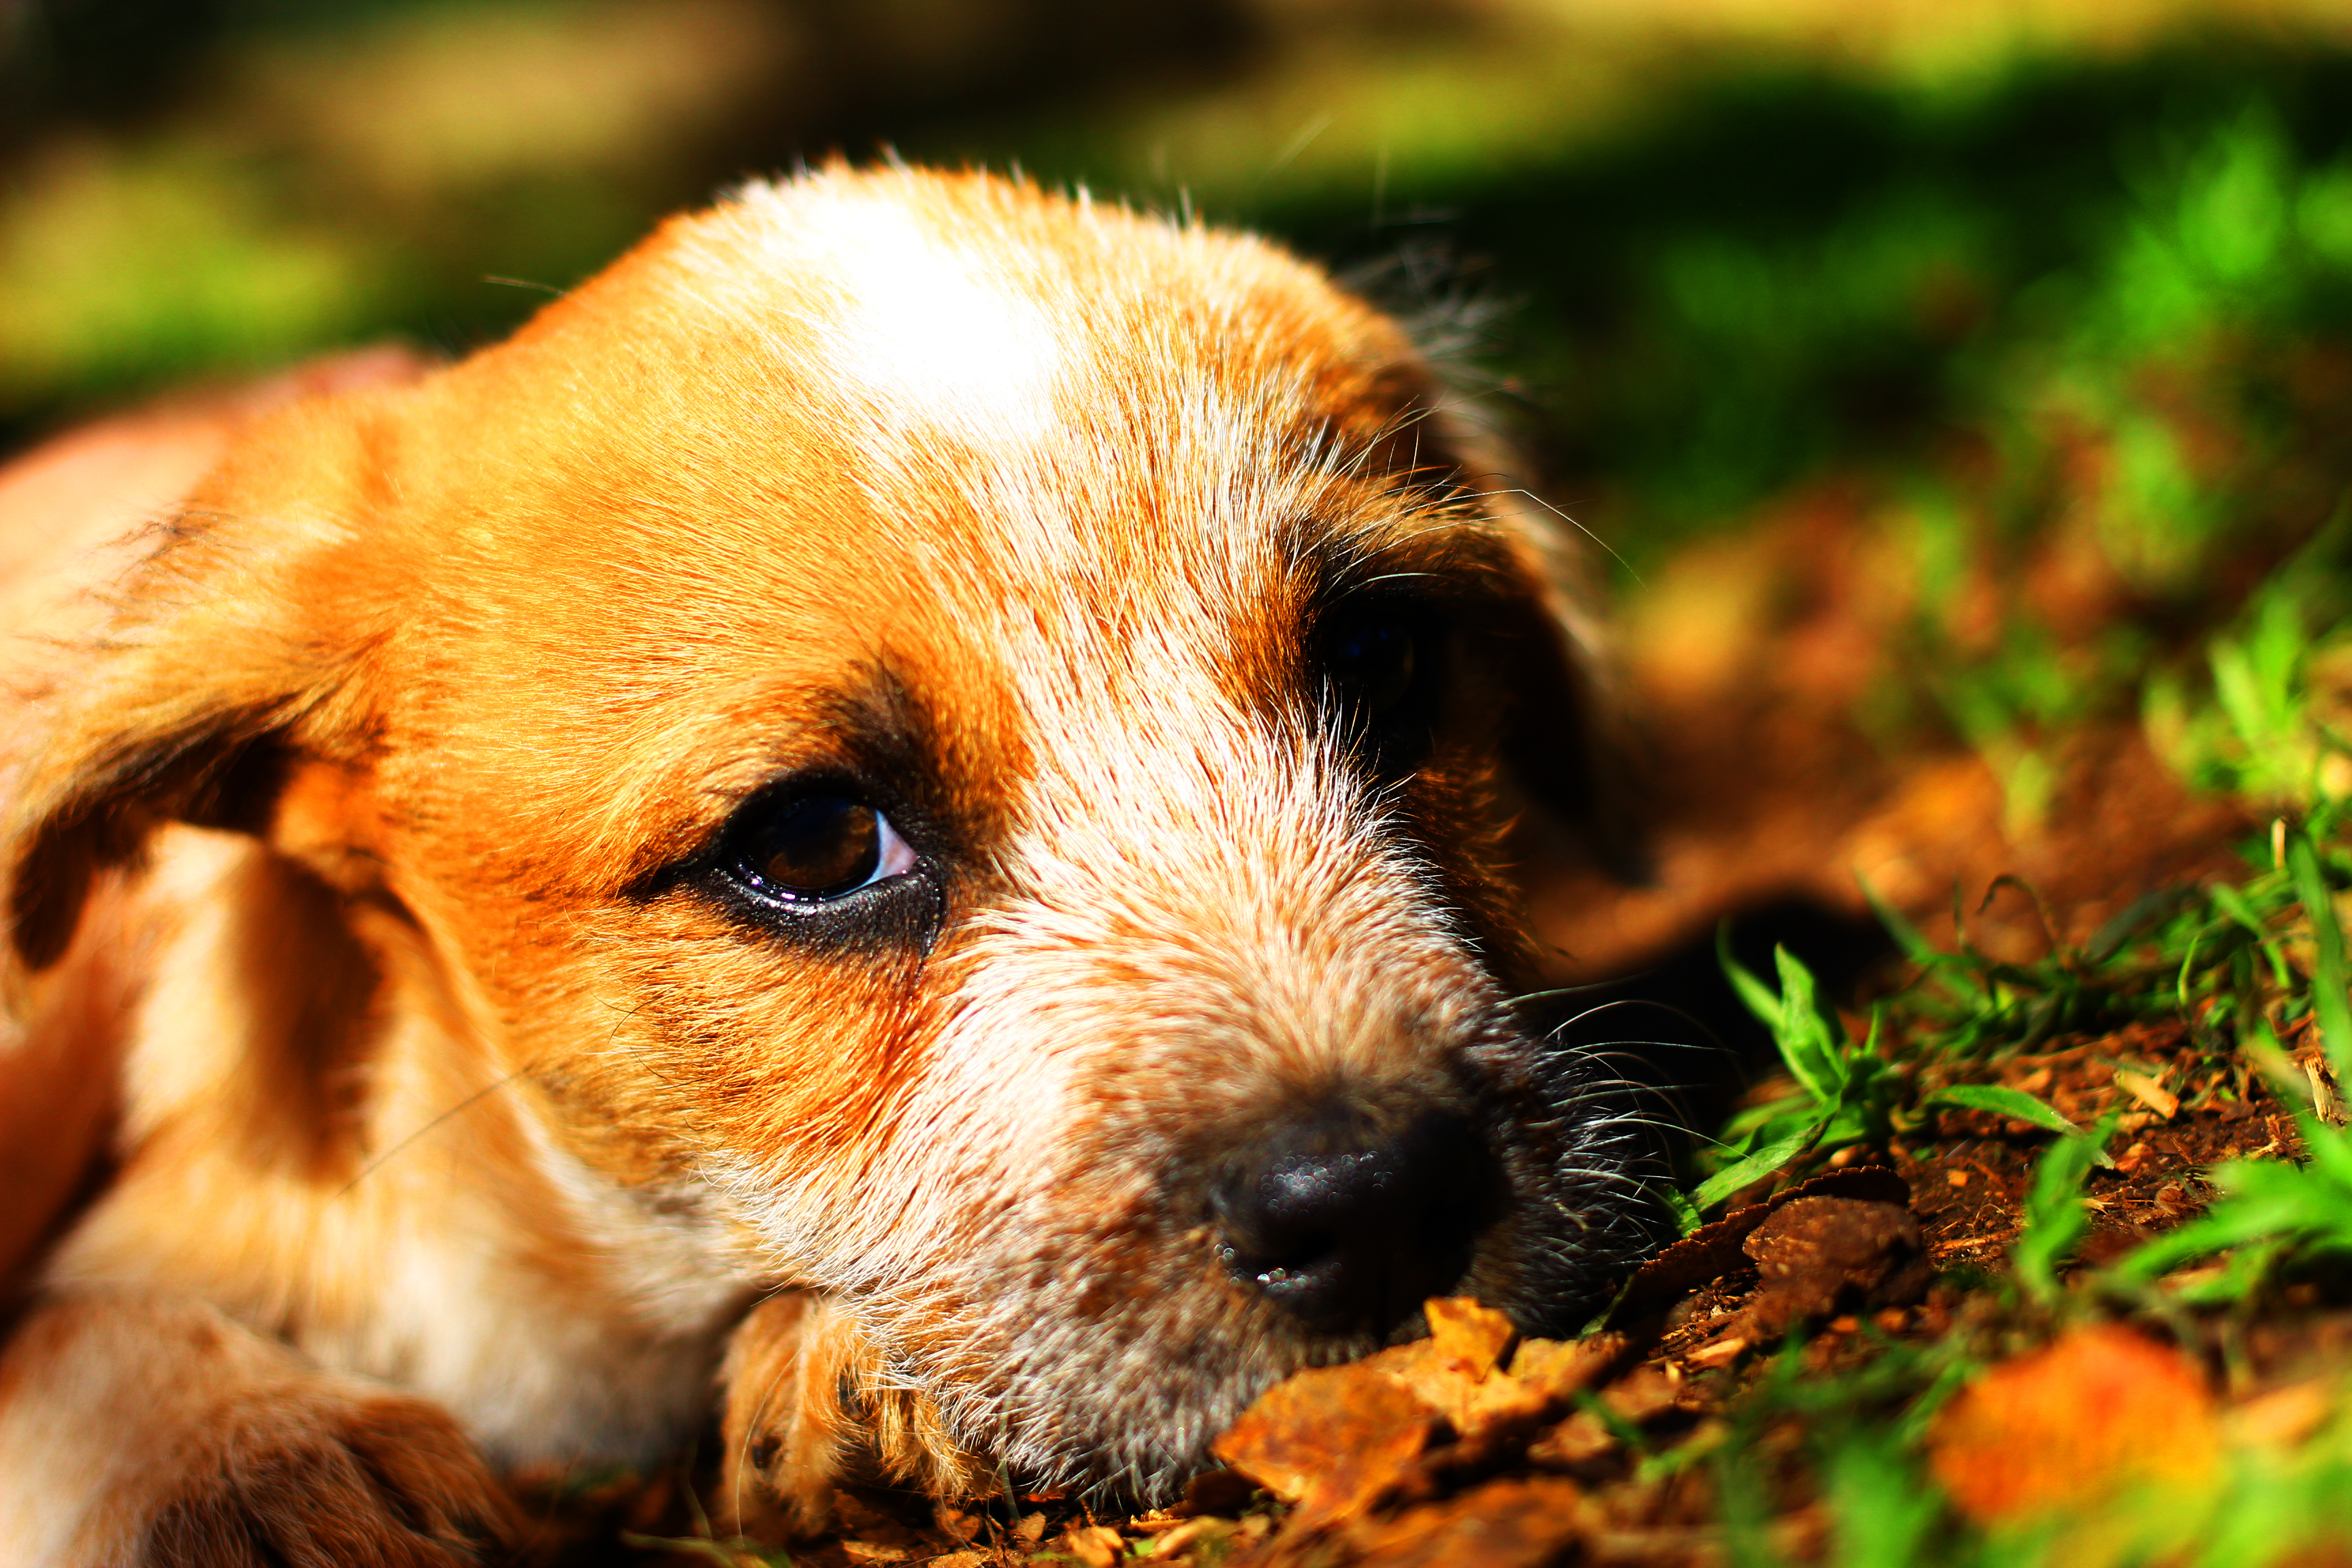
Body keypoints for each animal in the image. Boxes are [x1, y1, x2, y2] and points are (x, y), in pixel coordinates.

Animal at [0, 165, 1656, 1561]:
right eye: (812, 840)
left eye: (1381, 658)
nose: (1382, 1195)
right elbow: (70, 1333)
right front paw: (243, 1458)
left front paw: (831, 1374)